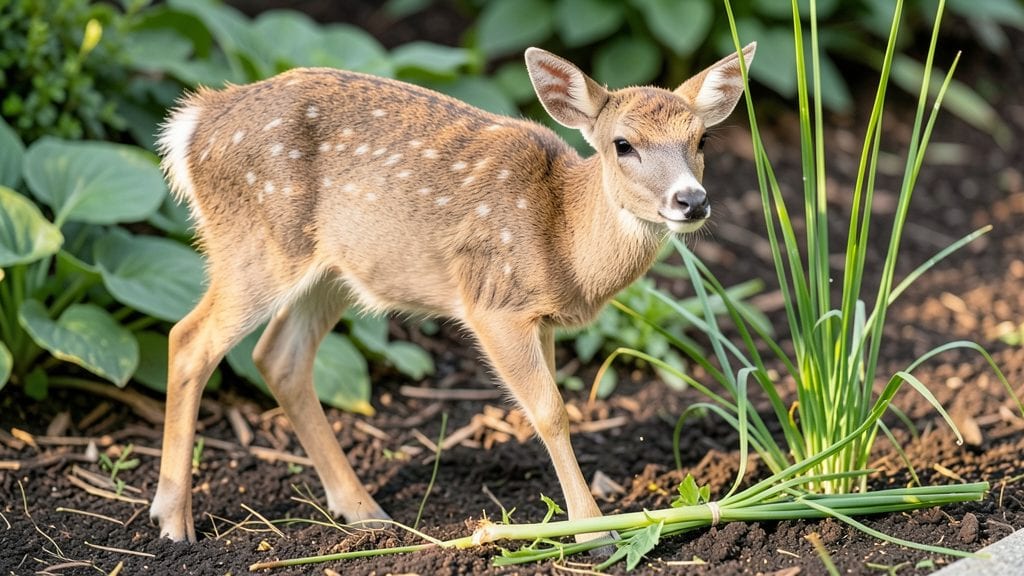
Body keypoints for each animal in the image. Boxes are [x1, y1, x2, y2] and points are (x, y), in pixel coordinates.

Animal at [151, 43, 756, 545]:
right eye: (622, 144)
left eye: (701, 139)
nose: (691, 200)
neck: (563, 238)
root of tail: (190, 125)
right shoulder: (493, 302)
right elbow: (550, 412)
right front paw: (594, 531)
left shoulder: (540, 318)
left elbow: (557, 409)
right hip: (257, 241)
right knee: (188, 339)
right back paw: (173, 522)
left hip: (331, 271)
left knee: (278, 357)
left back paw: (364, 513)